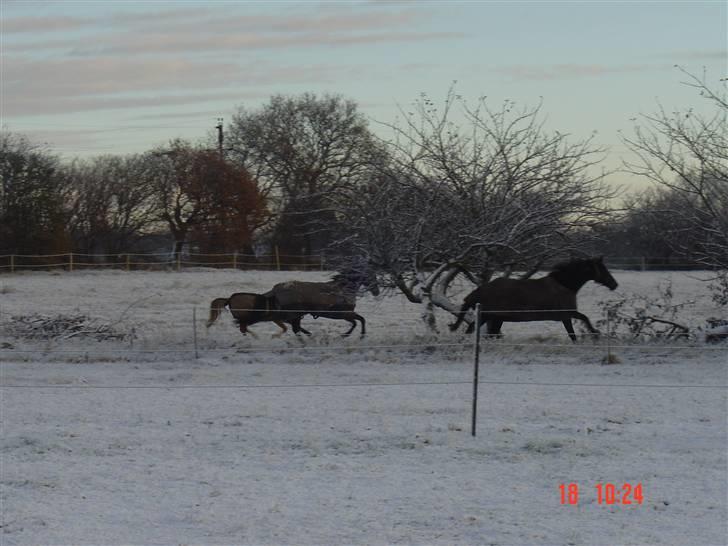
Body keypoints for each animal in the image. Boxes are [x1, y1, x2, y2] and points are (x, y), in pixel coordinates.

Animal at [449, 257, 618, 342]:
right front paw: (595, 333)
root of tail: (478, 291)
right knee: (475, 329)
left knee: (481, 331)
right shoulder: (567, 314)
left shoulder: (566, 316)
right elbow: (581, 323)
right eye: (602, 269)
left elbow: (576, 329)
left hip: (495, 318)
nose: (614, 284)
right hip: (490, 316)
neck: (565, 284)